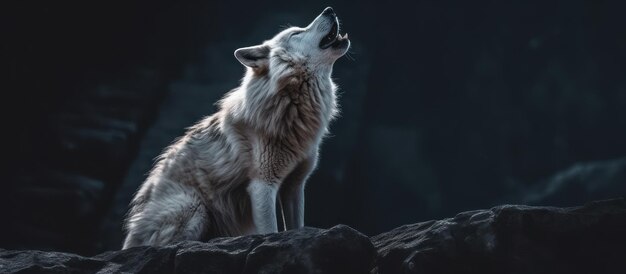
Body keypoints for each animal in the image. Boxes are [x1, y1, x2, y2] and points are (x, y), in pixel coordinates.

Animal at [119, 7, 348, 249]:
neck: (292, 102)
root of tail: (129, 239)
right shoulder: (262, 185)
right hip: (193, 207)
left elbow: (296, 227)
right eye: (296, 33)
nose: (329, 9)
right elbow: (272, 230)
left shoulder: (294, 186)